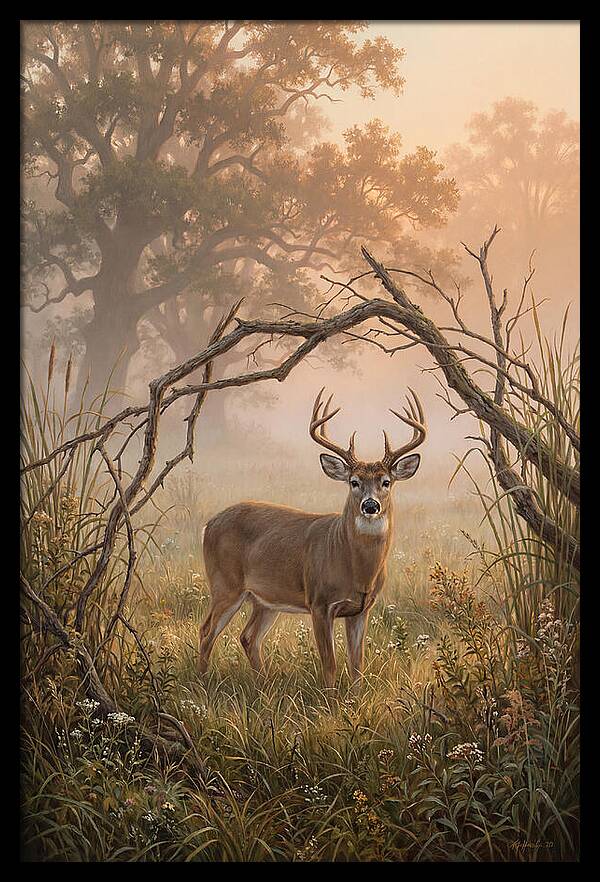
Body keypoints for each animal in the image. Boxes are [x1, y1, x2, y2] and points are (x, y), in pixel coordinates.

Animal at [198, 387, 427, 687]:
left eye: (386, 482)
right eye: (354, 482)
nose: (370, 505)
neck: (356, 568)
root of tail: (208, 525)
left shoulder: (362, 609)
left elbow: (357, 666)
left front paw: (355, 696)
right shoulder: (319, 602)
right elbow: (329, 665)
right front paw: (330, 699)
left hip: (265, 598)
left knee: (248, 637)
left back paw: (263, 685)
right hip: (225, 584)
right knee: (206, 631)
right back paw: (201, 684)